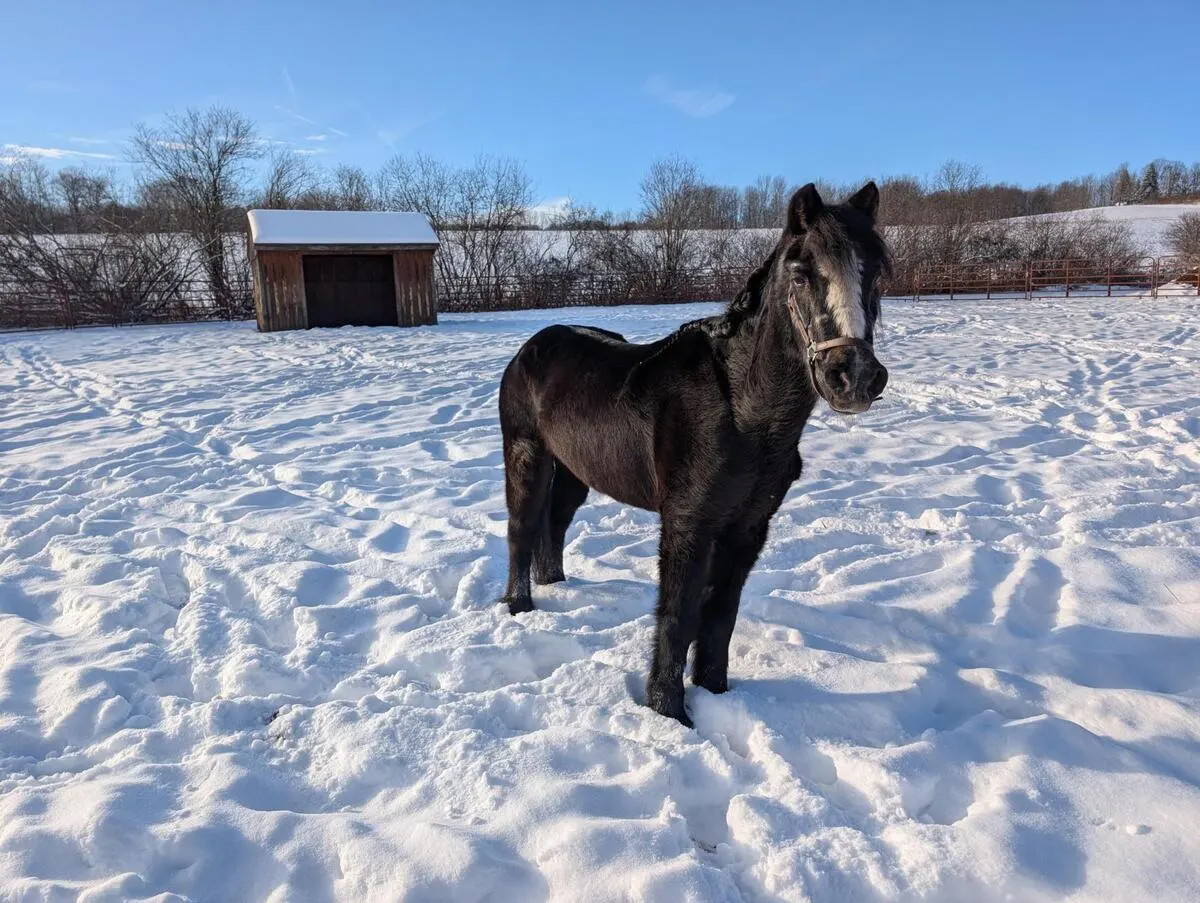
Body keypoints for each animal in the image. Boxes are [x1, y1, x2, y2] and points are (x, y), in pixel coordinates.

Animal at [497, 182, 891, 726]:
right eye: (801, 273)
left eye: (878, 273)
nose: (853, 376)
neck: (740, 410)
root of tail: (532, 346)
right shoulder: (687, 522)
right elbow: (679, 615)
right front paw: (669, 713)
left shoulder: (749, 526)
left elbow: (721, 613)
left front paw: (716, 692)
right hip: (527, 454)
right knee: (521, 526)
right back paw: (520, 608)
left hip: (576, 470)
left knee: (553, 524)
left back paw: (555, 583)